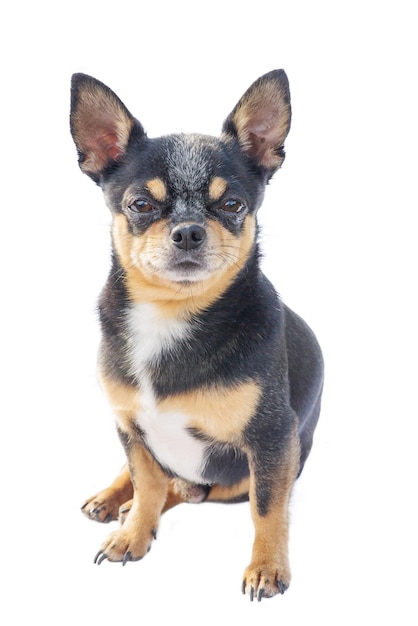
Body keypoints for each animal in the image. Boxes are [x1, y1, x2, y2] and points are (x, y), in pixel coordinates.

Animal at [69, 69, 324, 600]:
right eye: (140, 204)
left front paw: (267, 567)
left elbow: (268, 508)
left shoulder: (273, 441)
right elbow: (147, 482)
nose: (188, 231)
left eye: (232, 204)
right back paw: (114, 500)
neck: (172, 316)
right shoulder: (130, 426)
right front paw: (133, 534)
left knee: (193, 490)